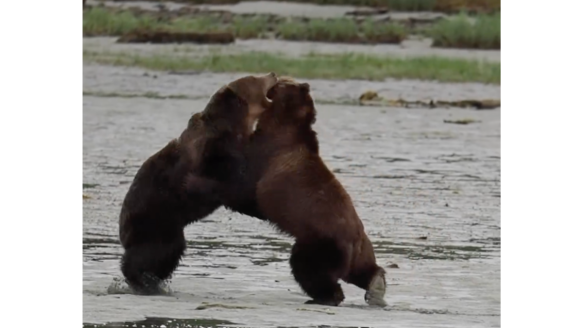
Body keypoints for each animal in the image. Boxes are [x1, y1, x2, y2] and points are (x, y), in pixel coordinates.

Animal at [118, 72, 278, 294]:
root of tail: (122, 230)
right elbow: (233, 187)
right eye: (254, 78)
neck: (236, 126)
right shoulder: (216, 154)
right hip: (155, 220)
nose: (272, 74)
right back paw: (142, 280)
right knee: (154, 253)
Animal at [187, 77, 388, 308]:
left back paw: (325, 297)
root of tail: (354, 240)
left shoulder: (266, 155)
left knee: (308, 267)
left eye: (282, 82)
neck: (284, 122)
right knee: (363, 270)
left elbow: (244, 188)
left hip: (320, 241)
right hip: (361, 249)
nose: (275, 80)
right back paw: (376, 287)